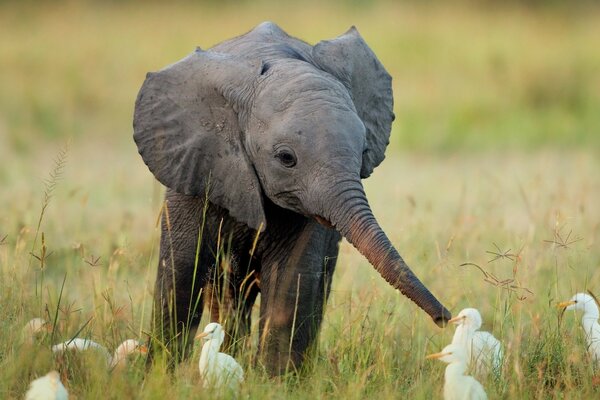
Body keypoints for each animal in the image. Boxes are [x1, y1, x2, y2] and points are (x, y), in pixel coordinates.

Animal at [132, 21, 450, 372]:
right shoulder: (196, 168)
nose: (445, 319)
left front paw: (275, 379)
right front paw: (160, 374)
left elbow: (291, 279)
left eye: (364, 150)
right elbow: (181, 273)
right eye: (286, 158)